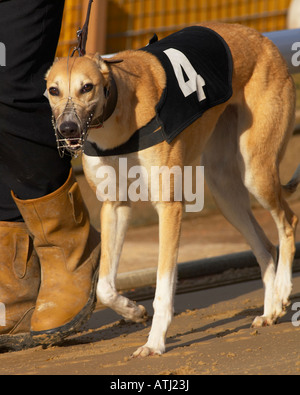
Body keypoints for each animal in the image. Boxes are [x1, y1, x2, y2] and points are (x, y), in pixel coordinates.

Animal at [45, 22, 298, 358]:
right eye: (54, 90)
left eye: (87, 87)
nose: (68, 129)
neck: (119, 109)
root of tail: (262, 39)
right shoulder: (115, 206)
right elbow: (104, 288)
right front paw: (132, 310)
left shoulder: (169, 207)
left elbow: (163, 286)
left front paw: (154, 342)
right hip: (223, 187)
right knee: (266, 248)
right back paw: (269, 311)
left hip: (256, 171)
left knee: (288, 222)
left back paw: (282, 294)